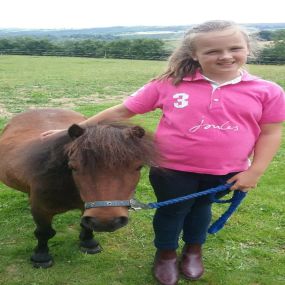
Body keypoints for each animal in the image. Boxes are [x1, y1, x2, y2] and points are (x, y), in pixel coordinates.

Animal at [0, 107, 156, 268]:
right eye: (73, 167)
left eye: (139, 167)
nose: (106, 221)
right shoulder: (40, 209)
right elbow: (44, 232)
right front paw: (41, 257)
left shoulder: (86, 206)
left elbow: (86, 225)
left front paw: (88, 243)